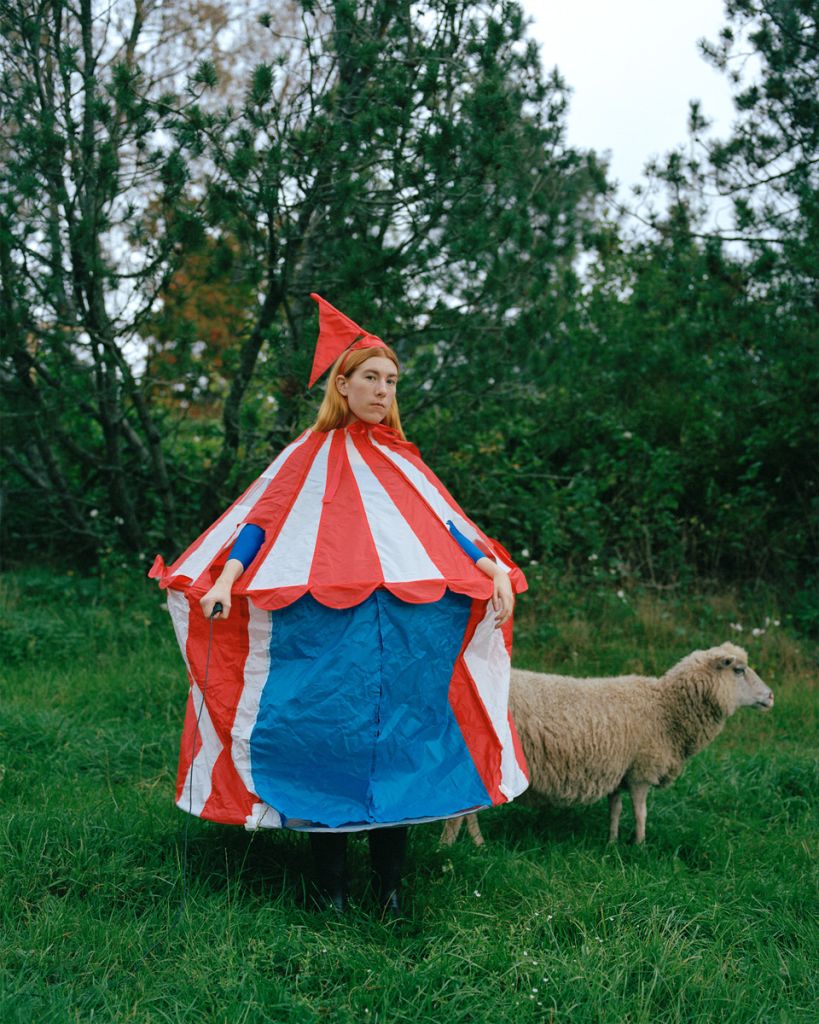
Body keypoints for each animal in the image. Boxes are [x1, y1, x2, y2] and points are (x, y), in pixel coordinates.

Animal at [444, 643, 769, 843]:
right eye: (739, 670)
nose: (770, 696)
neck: (665, 709)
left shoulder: (620, 772)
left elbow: (616, 809)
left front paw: (612, 842)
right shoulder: (641, 771)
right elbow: (641, 812)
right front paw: (639, 845)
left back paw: (474, 843)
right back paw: (459, 845)